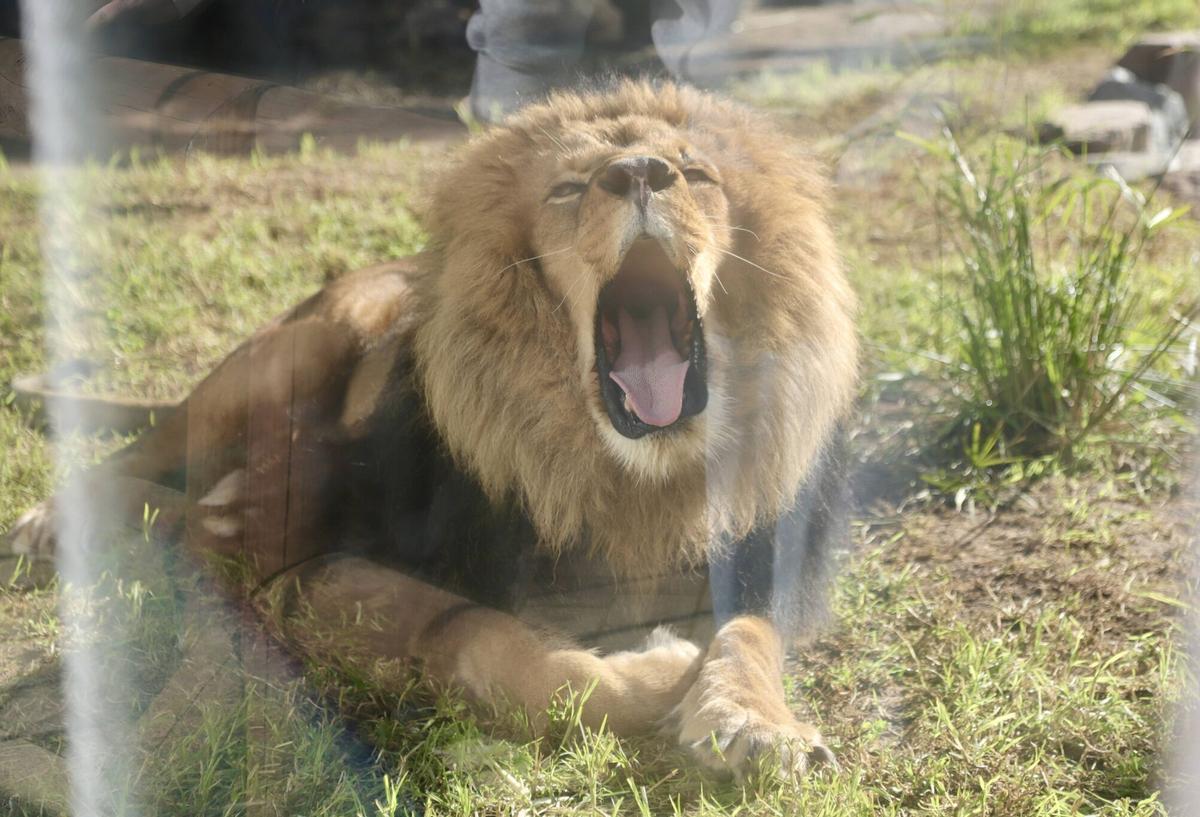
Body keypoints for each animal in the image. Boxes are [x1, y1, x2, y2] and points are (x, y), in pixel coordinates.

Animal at [5, 79, 858, 779]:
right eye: (570, 186)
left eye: (696, 172)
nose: (640, 172)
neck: (630, 478)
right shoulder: (299, 574)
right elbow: (479, 636)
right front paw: (660, 673)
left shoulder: (755, 555)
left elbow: (748, 635)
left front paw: (754, 722)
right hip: (298, 350)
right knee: (142, 460)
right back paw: (60, 522)